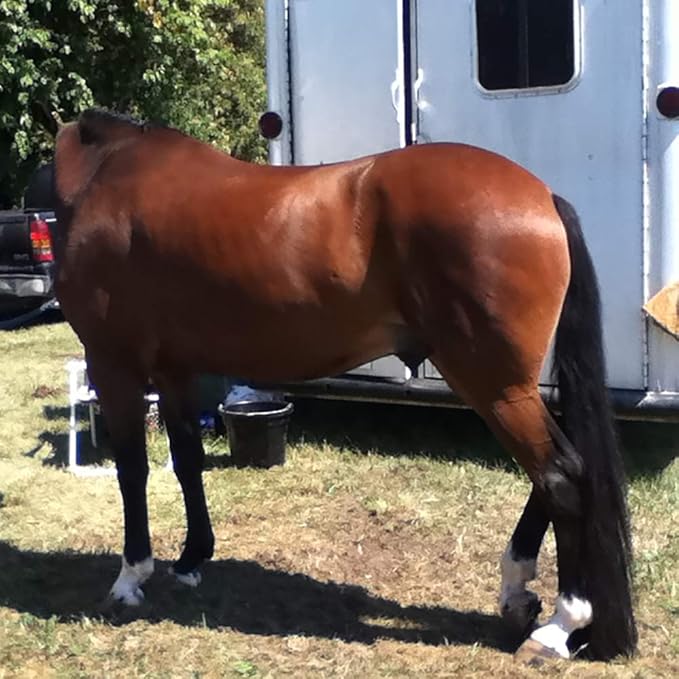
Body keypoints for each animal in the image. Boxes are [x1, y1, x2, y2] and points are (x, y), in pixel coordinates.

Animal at [51, 108, 636, 664]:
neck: (103, 174)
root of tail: (542, 197)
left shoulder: (114, 364)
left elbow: (132, 471)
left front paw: (130, 578)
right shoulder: (176, 370)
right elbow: (187, 461)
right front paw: (192, 558)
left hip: (493, 386)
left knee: (560, 477)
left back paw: (558, 627)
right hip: (508, 387)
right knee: (560, 472)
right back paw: (519, 596)